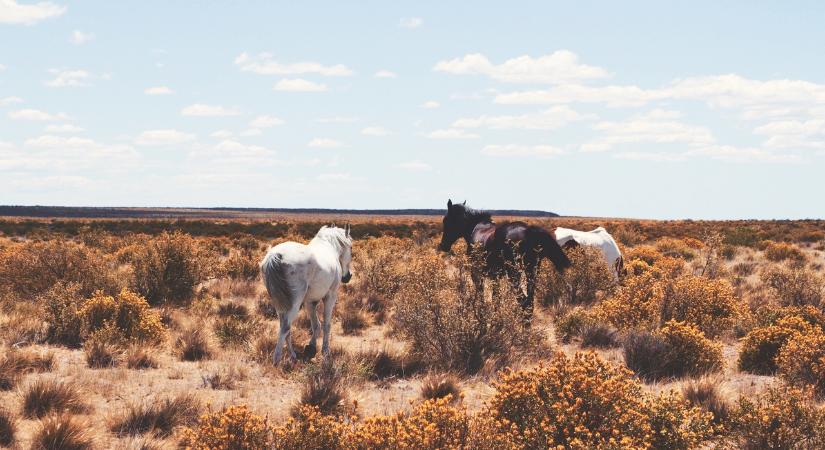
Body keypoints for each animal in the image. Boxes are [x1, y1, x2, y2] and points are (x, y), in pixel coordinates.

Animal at [260, 223, 350, 364]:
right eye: (351, 247)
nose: (347, 277)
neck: (330, 248)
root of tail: (275, 256)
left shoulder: (310, 302)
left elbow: (316, 325)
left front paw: (311, 348)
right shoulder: (330, 297)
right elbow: (326, 325)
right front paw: (325, 351)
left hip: (279, 304)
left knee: (285, 327)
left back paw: (292, 355)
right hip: (294, 304)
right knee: (285, 327)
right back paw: (277, 360)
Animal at [438, 200, 568, 320]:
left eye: (446, 220)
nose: (443, 245)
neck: (475, 228)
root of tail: (528, 231)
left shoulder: (476, 273)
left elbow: (481, 294)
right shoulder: (495, 276)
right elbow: (496, 297)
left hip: (514, 274)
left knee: (524, 302)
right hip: (532, 272)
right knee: (529, 303)